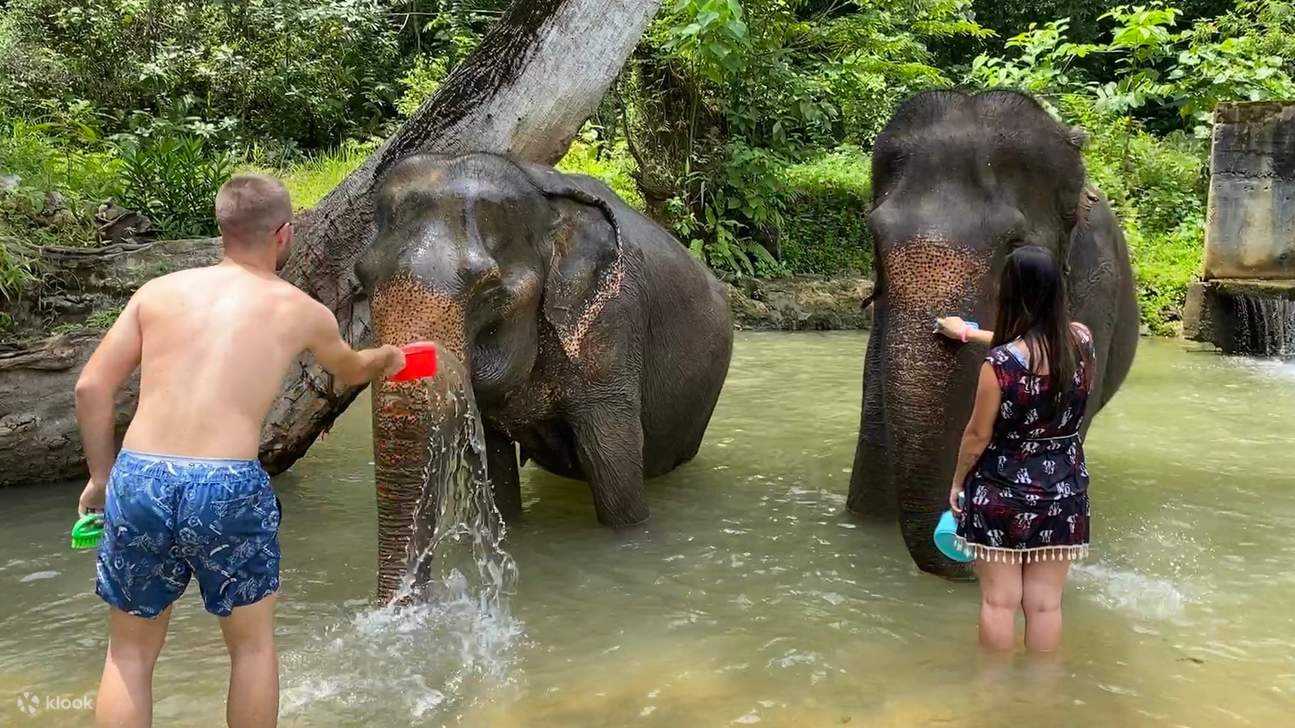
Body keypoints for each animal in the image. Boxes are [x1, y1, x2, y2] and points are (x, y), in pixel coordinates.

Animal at [356, 152, 734, 598]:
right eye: (361, 278)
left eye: (489, 290)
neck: (540, 192)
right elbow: (496, 462)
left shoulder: (612, 322)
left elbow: (610, 453)